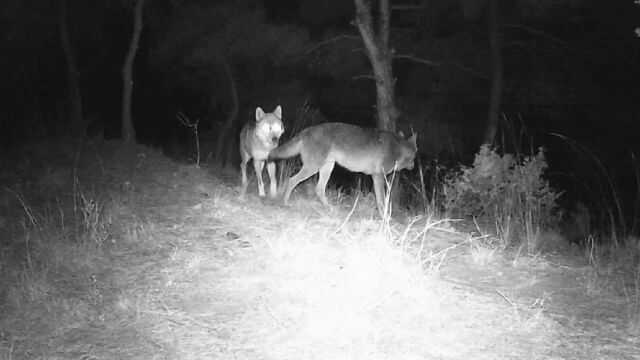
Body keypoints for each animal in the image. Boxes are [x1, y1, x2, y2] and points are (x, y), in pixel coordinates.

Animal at [268, 122, 418, 215]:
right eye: (415, 157)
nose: (414, 166)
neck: (398, 148)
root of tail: (306, 130)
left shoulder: (377, 177)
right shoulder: (378, 176)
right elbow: (381, 201)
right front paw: (384, 216)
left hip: (327, 168)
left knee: (319, 189)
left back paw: (329, 208)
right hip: (313, 168)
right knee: (292, 180)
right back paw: (285, 203)